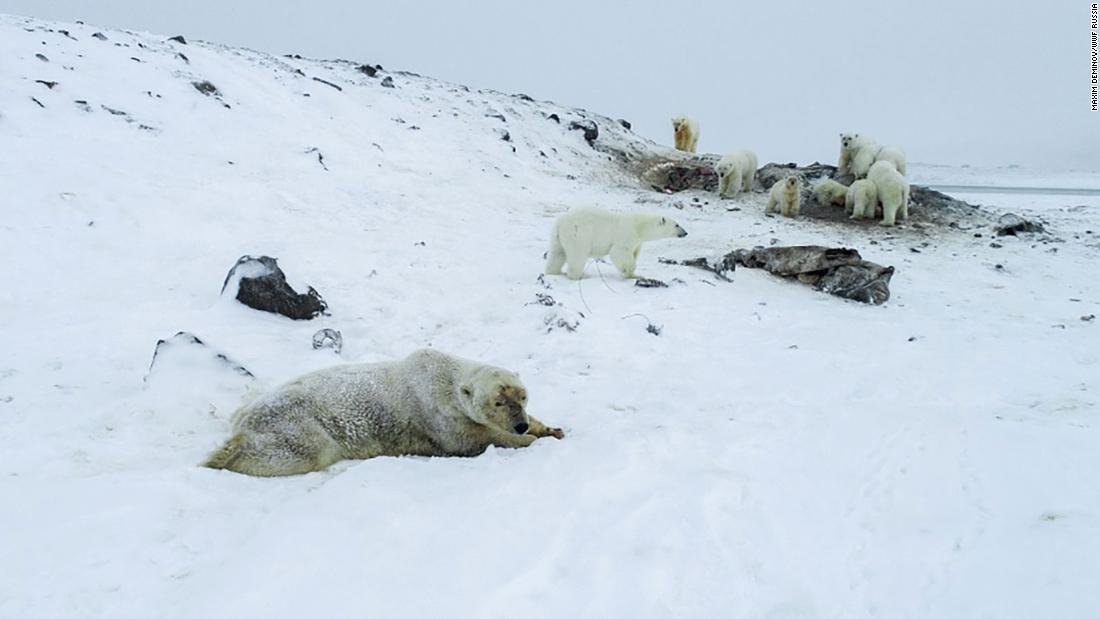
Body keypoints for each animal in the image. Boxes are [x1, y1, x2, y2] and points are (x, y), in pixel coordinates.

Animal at [205, 349, 563, 479]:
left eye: (523, 396)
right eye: (498, 403)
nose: (520, 425)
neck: (444, 376)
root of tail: (243, 418)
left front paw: (550, 429)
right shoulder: (438, 414)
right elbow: (473, 439)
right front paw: (528, 441)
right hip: (296, 424)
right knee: (297, 451)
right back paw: (221, 457)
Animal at [543, 206, 686, 279]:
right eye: (677, 225)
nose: (685, 233)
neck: (640, 226)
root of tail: (560, 223)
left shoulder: (637, 242)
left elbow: (634, 253)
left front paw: (634, 275)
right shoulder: (627, 234)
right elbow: (619, 252)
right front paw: (628, 272)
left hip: (557, 237)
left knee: (557, 253)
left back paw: (555, 272)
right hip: (578, 234)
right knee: (577, 254)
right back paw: (580, 275)